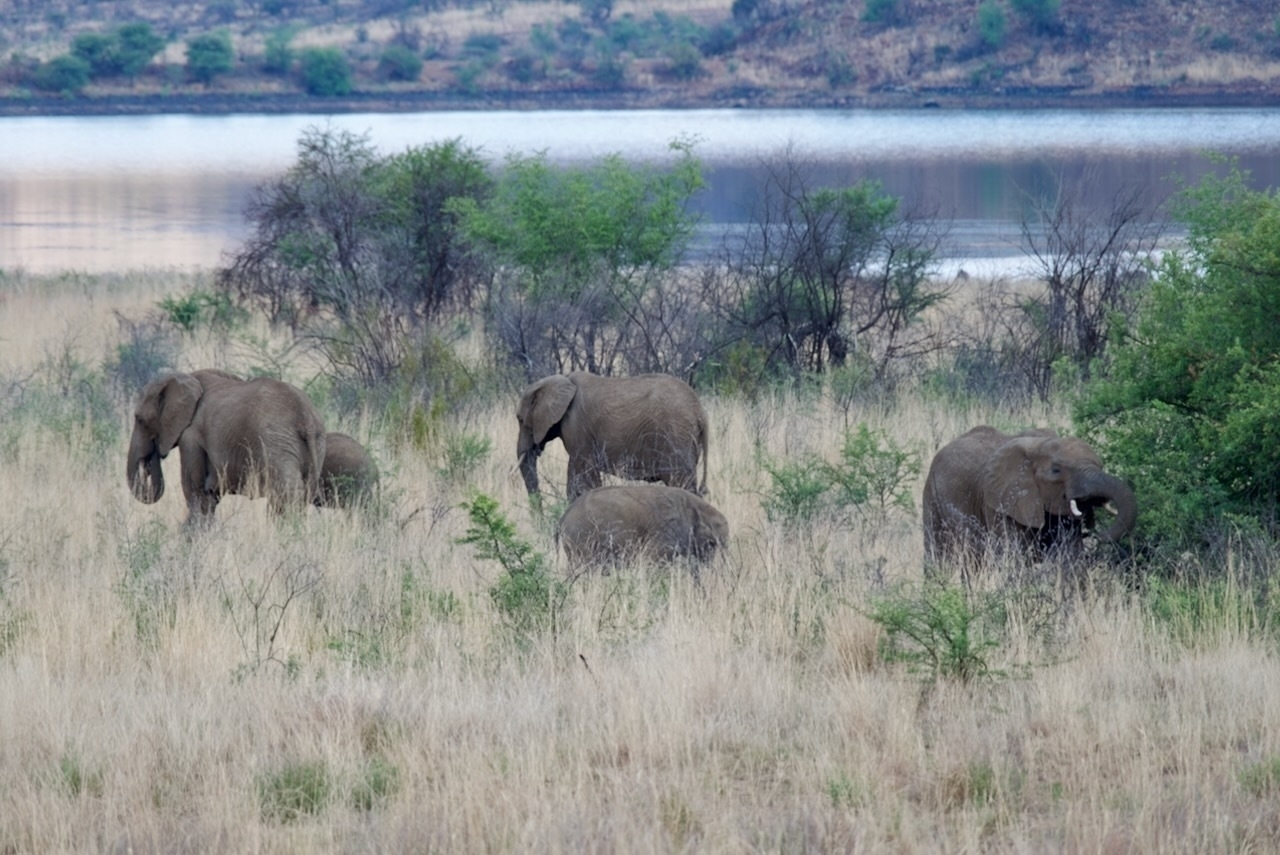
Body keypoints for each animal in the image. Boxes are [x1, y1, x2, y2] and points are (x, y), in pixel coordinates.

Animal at [126, 371, 325, 517]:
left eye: (140, 420)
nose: (147, 465)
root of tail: (306, 419)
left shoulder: (191, 436)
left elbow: (195, 491)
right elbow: (209, 495)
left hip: (276, 441)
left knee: (287, 493)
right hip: (314, 443)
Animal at [512, 371, 711, 501]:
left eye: (520, 419)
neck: (563, 379)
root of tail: (700, 412)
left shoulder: (578, 430)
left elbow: (582, 479)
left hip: (676, 436)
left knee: (682, 484)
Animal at [921, 424, 1141, 568]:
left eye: (1101, 464)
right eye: (1056, 470)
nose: (1098, 535)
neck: (1039, 445)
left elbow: (1071, 556)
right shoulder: (998, 502)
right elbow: (1012, 555)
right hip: (932, 497)